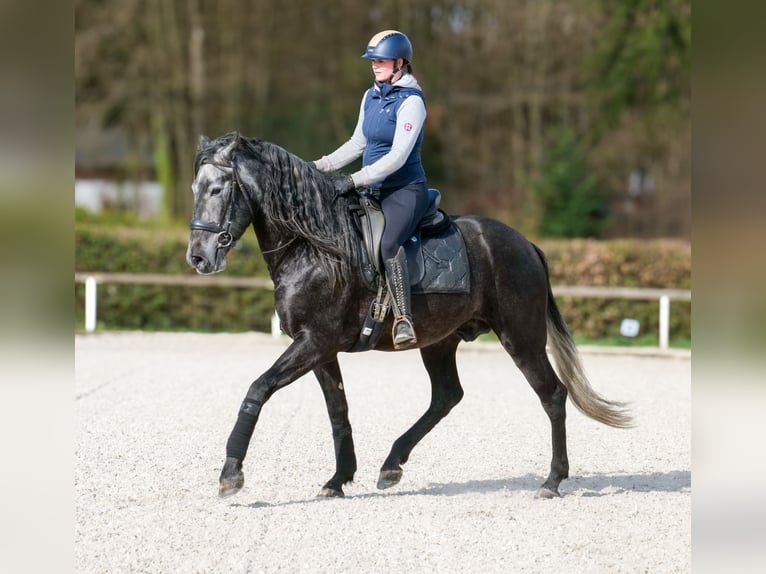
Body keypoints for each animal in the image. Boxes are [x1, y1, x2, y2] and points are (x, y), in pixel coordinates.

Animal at [186, 132, 632, 500]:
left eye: (218, 188)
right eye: (195, 188)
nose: (198, 257)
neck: (313, 246)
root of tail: (526, 244)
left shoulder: (314, 342)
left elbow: (258, 389)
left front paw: (230, 474)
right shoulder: (319, 348)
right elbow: (338, 409)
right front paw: (338, 479)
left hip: (520, 338)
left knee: (552, 395)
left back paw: (552, 481)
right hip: (439, 342)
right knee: (447, 396)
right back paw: (391, 465)